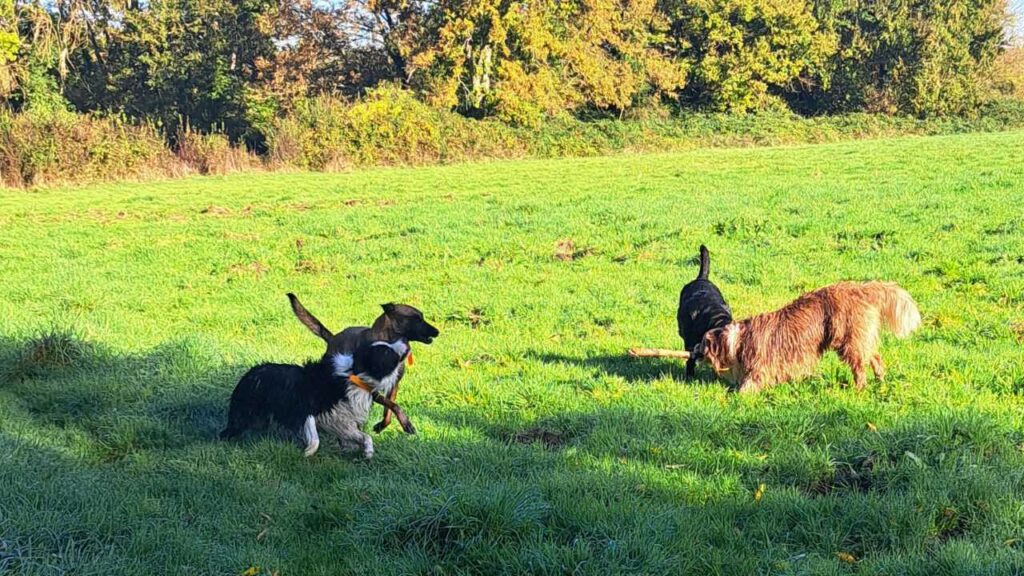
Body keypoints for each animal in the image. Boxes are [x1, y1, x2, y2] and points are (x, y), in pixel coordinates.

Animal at [220, 336, 407, 457]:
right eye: (386, 352)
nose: (404, 341)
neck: (354, 375)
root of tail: (247, 376)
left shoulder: (340, 419)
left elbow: (364, 436)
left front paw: (366, 452)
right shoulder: (304, 407)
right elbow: (314, 437)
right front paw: (307, 452)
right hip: (244, 413)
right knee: (229, 430)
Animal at [286, 295, 438, 430]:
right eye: (417, 319)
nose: (437, 331)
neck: (388, 341)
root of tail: (332, 338)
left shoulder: (393, 386)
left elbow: (389, 409)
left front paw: (382, 426)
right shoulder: (370, 388)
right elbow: (394, 405)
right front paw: (406, 424)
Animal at [700, 280, 925, 391]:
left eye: (702, 344)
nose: (694, 350)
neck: (738, 339)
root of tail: (862, 289)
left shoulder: (759, 366)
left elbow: (750, 382)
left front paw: (740, 395)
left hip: (849, 341)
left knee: (860, 368)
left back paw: (859, 388)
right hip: (860, 338)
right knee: (875, 358)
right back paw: (880, 381)